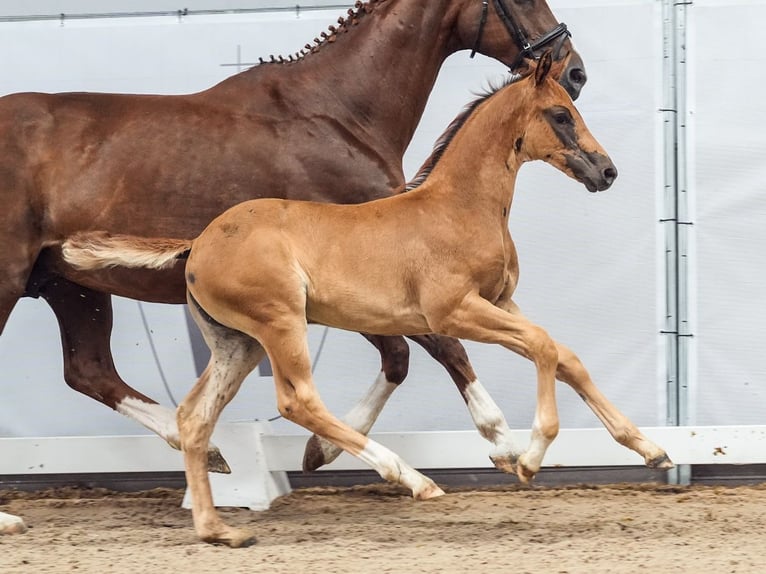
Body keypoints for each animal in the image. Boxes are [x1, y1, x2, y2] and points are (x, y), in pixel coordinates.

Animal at [63, 53, 676, 548]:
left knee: (194, 418)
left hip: (238, 344)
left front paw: (652, 451)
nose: (606, 171)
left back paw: (219, 530)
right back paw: (412, 479)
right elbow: (546, 349)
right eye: (560, 114)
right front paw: (526, 458)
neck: (460, 206)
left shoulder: (502, 305)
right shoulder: (455, 311)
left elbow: (566, 355)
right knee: (298, 402)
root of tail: (198, 243)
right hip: (281, 323)